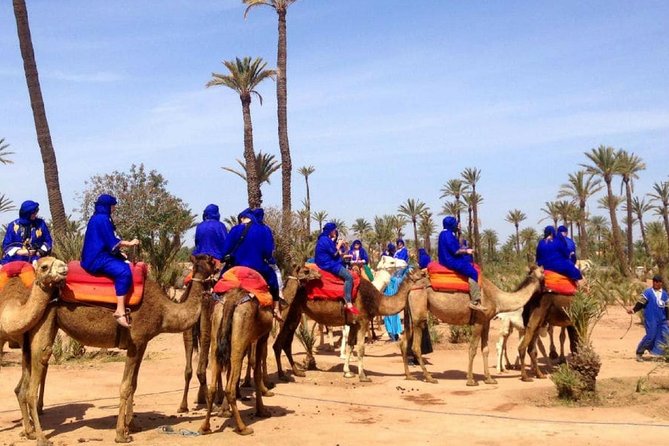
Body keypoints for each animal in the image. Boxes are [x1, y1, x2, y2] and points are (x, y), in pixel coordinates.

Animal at [17, 254, 217, 445]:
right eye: (212, 262)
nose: (221, 265)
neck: (164, 312)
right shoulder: (136, 341)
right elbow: (126, 386)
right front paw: (121, 434)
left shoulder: (142, 344)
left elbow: (134, 384)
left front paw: (132, 425)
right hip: (46, 320)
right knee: (35, 377)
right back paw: (42, 438)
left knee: (23, 385)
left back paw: (29, 432)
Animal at [199, 265, 320, 436]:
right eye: (306, 271)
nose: (319, 274)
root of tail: (231, 300)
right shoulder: (262, 335)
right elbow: (258, 363)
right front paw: (263, 404)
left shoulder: (250, 338)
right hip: (239, 334)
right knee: (231, 380)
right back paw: (242, 427)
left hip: (217, 331)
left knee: (213, 383)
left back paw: (206, 426)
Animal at [273, 266, 418, 383]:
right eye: (420, 275)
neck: (376, 300)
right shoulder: (363, 321)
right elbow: (360, 349)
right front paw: (363, 376)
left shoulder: (353, 324)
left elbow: (350, 346)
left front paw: (347, 372)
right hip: (286, 314)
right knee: (278, 344)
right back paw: (282, 375)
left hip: (295, 315)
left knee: (286, 343)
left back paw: (297, 372)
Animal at [401, 266, 544, 386]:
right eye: (543, 273)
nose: (546, 287)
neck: (497, 299)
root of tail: (411, 286)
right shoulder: (478, 321)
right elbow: (473, 349)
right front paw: (471, 380)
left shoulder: (486, 321)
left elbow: (485, 349)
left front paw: (489, 379)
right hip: (419, 312)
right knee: (415, 346)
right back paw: (429, 378)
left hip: (411, 314)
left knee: (403, 342)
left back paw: (409, 376)